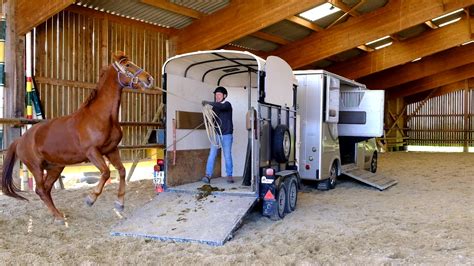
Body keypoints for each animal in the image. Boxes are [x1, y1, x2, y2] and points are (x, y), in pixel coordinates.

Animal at [0, 51, 154, 223]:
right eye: (128, 65)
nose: (149, 79)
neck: (101, 117)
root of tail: (20, 140)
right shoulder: (92, 152)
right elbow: (106, 173)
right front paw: (90, 199)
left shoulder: (111, 150)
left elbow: (121, 171)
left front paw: (119, 204)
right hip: (36, 167)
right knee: (40, 189)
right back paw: (58, 216)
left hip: (55, 168)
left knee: (46, 189)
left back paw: (59, 215)